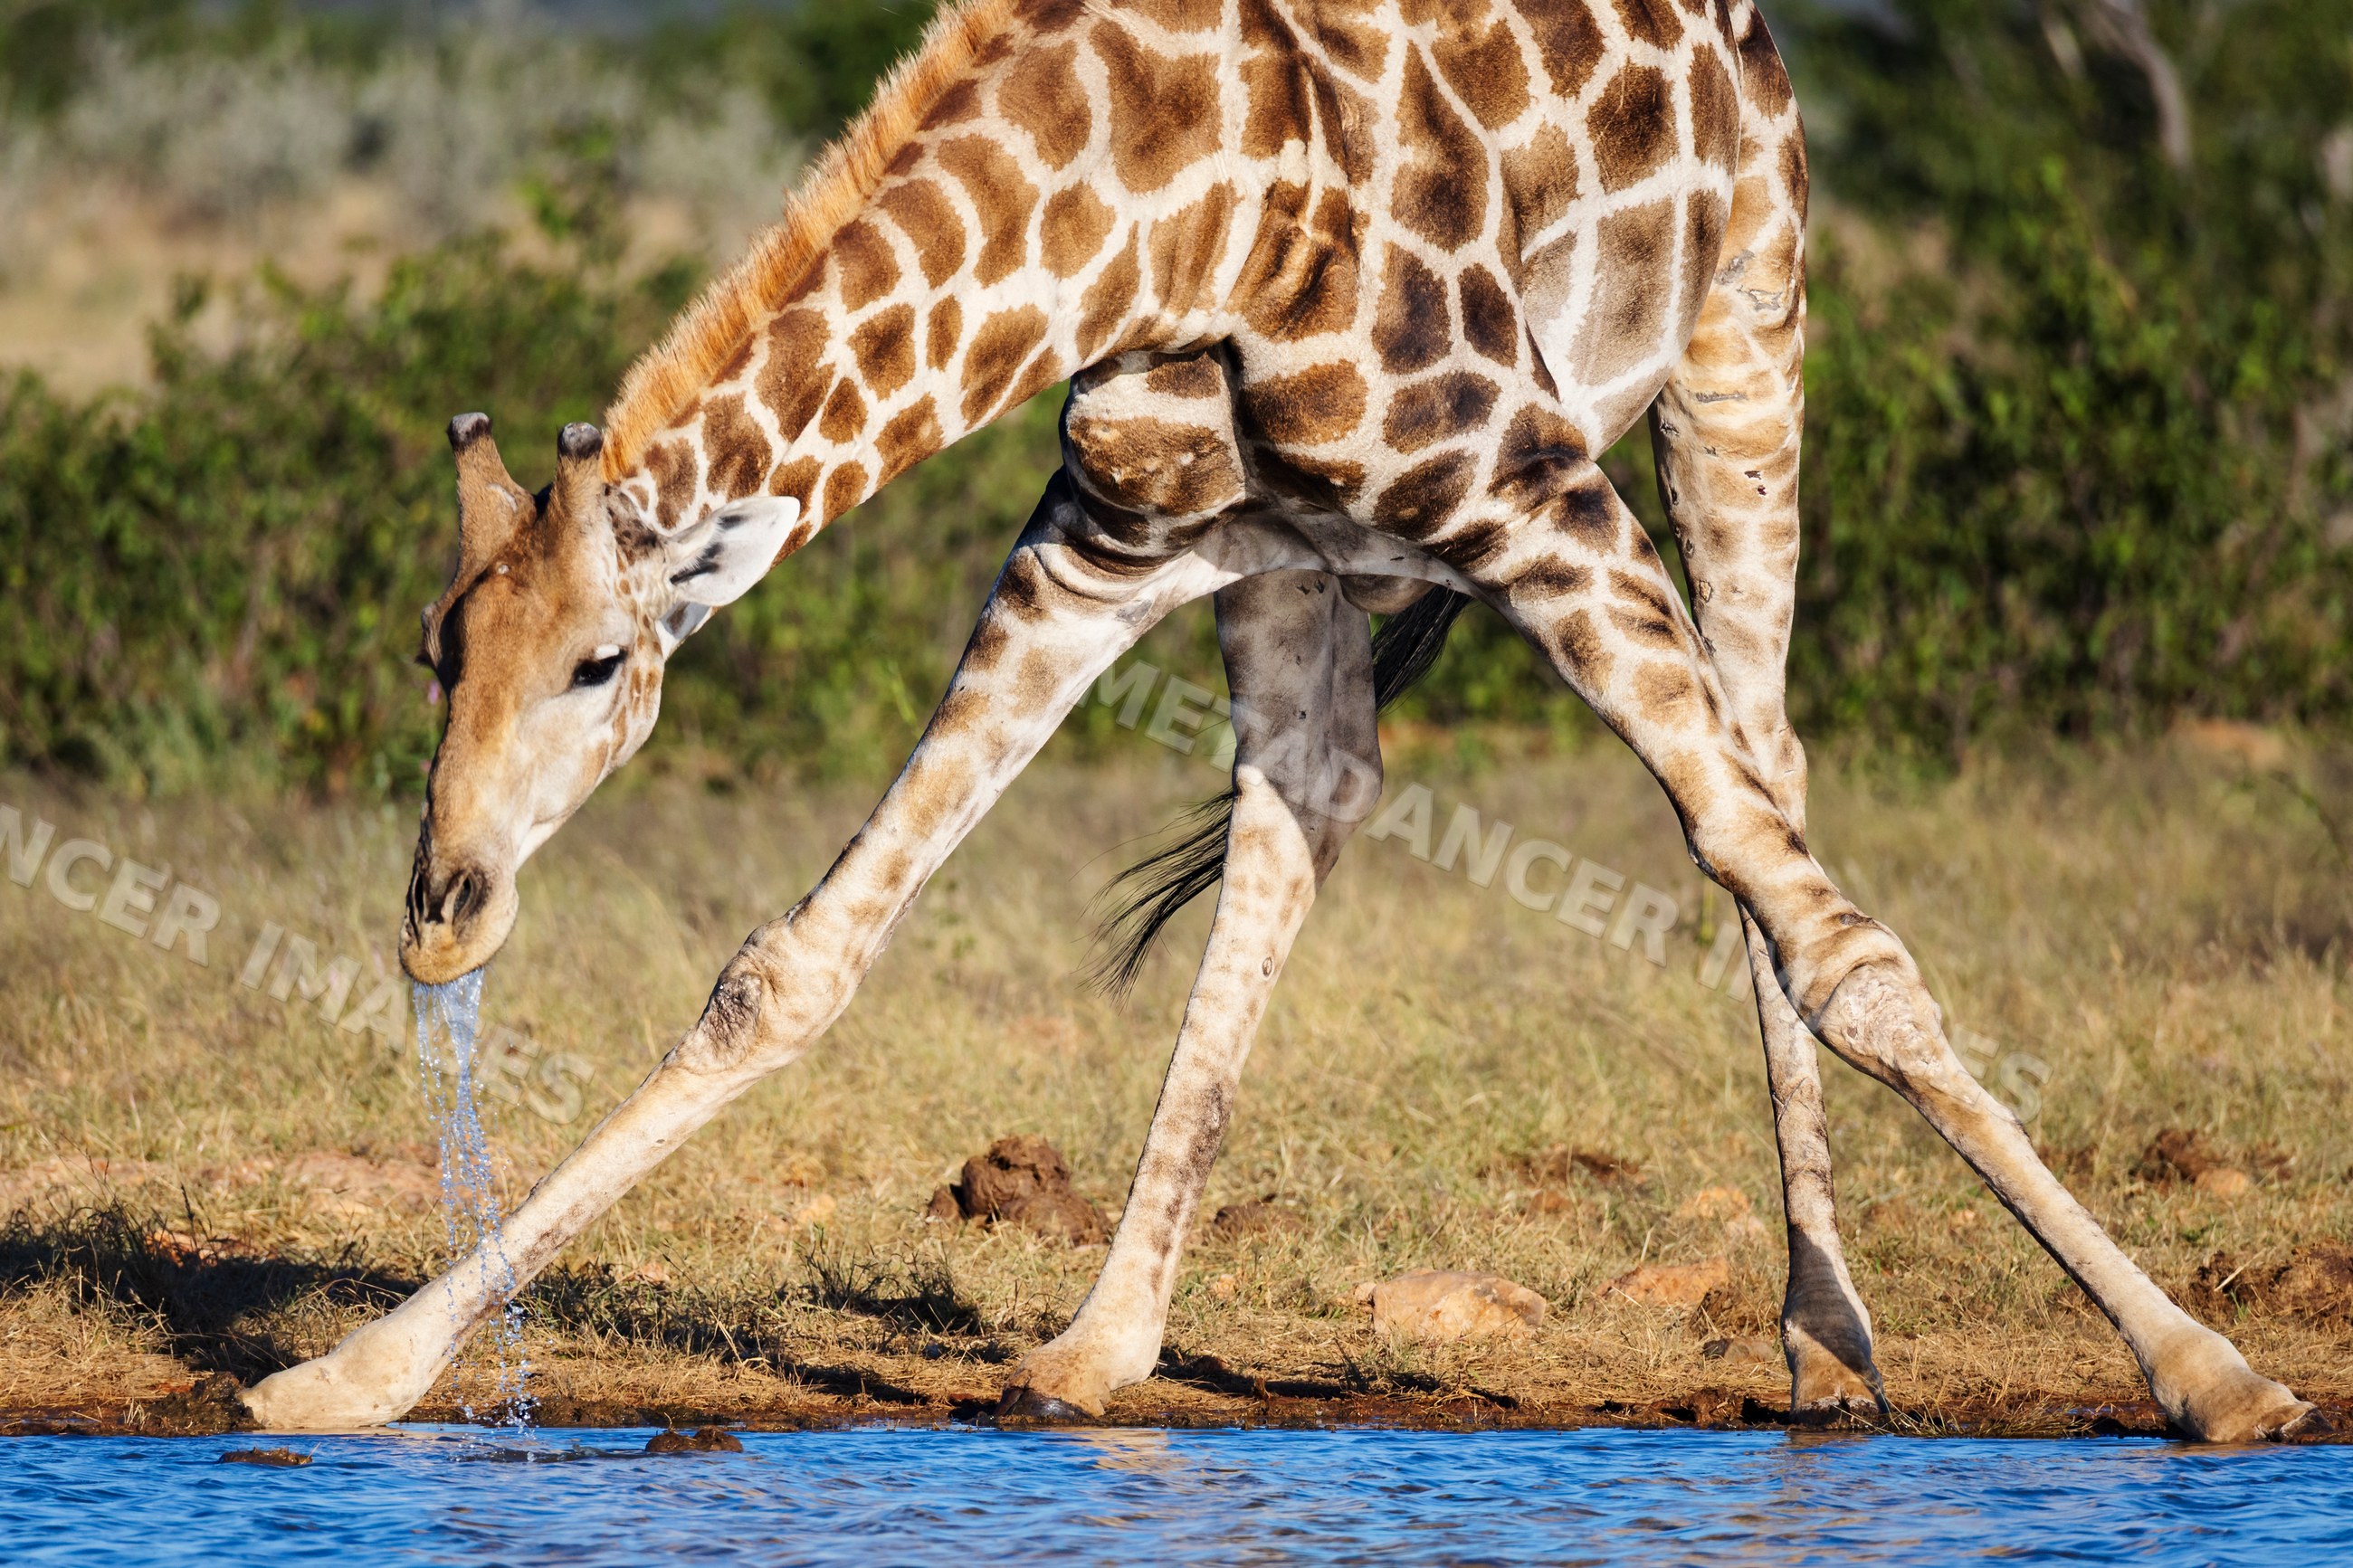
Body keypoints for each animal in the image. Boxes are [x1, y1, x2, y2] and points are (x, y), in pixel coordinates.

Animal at [240, 0, 2316, 1440]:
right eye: (434, 649)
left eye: (602, 663)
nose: (443, 911)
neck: (1153, 203)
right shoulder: (1103, 534)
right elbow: (794, 966)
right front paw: (350, 1376)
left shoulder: (1531, 481)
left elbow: (1838, 940)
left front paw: (2211, 1371)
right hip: (1286, 557)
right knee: (1305, 805)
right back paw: (1098, 1339)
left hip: (1742, 344)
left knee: (1767, 770)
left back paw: (1827, 1332)